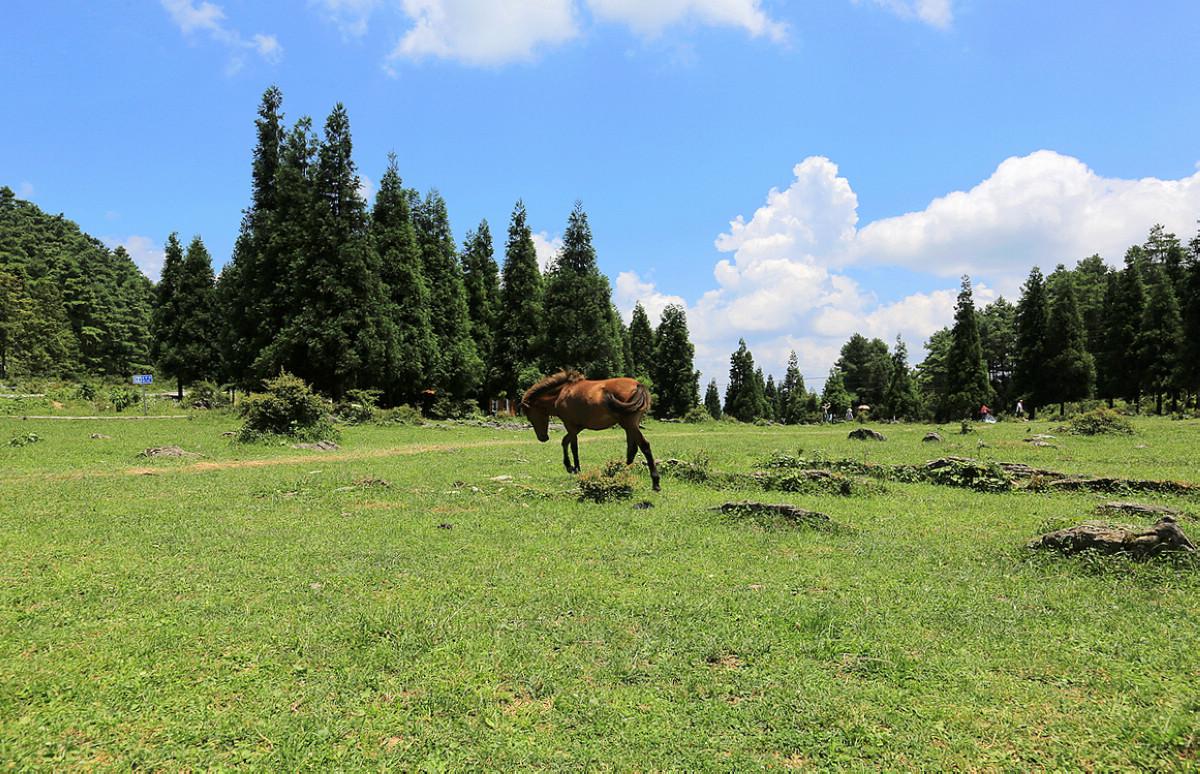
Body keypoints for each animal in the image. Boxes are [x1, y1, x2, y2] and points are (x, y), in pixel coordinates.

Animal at [520, 369, 662, 489]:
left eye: (530, 417)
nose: (543, 438)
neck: (562, 392)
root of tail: (638, 385)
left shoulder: (570, 425)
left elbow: (573, 446)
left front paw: (575, 468)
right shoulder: (577, 427)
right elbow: (565, 442)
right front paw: (570, 467)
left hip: (629, 425)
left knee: (644, 446)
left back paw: (655, 482)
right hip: (630, 426)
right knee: (632, 449)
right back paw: (621, 472)